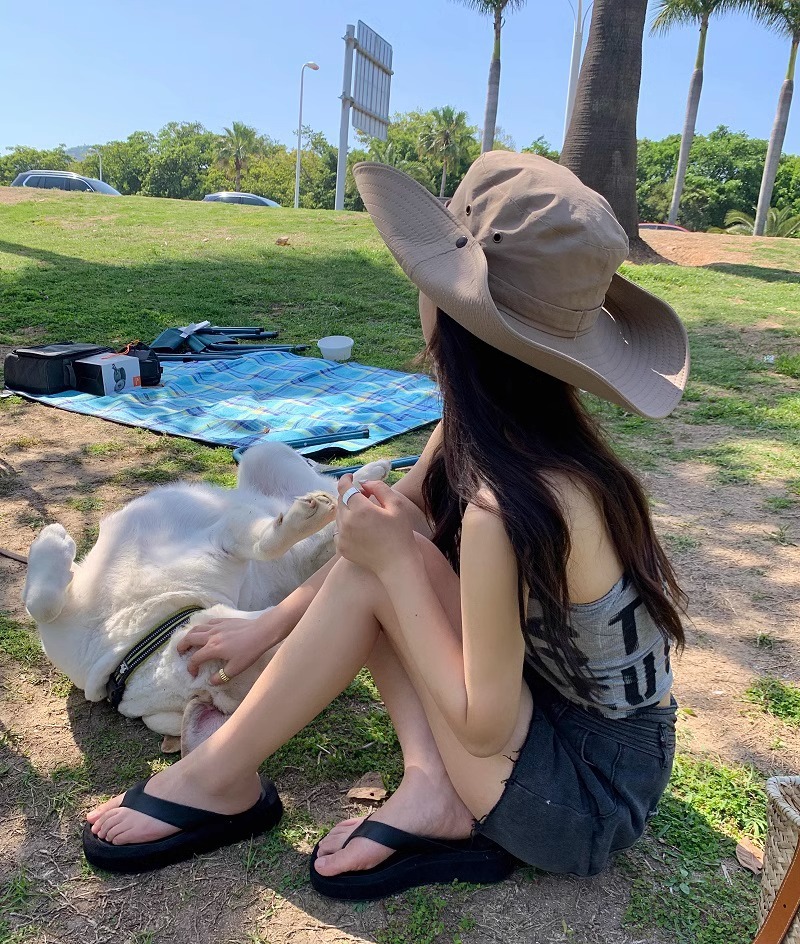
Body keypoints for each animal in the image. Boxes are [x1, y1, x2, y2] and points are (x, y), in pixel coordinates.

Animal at [22, 443, 389, 755]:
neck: (139, 634)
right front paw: (54, 538)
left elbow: (267, 543)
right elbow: (43, 604)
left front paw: (52, 537)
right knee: (334, 492)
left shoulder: (228, 539)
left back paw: (371, 474)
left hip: (262, 453)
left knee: (328, 482)